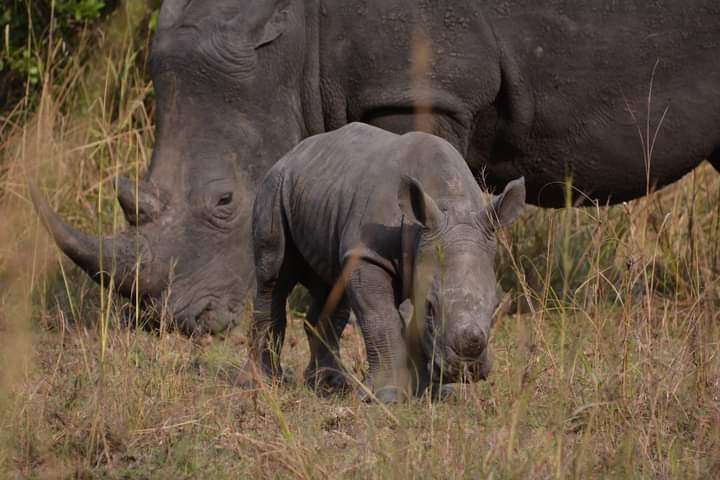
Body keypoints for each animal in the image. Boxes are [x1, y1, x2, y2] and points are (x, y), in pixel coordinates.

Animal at [244, 123, 524, 401]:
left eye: (495, 305)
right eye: (431, 307)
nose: (466, 369)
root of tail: (294, 152)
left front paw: (434, 394)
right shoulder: (368, 253)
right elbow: (381, 318)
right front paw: (386, 396)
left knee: (332, 286)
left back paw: (331, 385)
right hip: (275, 186)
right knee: (275, 278)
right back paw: (267, 382)